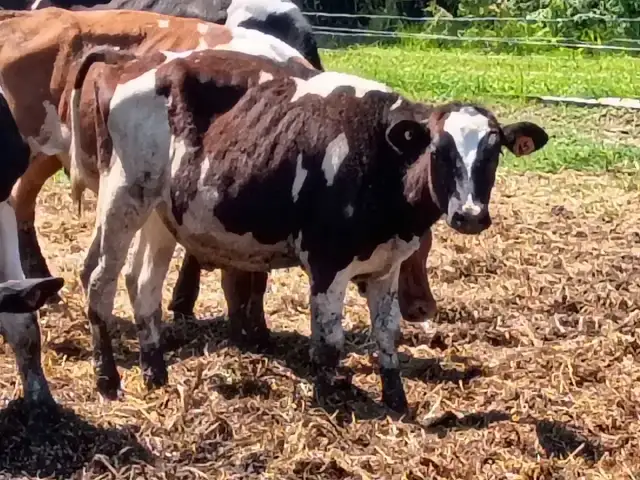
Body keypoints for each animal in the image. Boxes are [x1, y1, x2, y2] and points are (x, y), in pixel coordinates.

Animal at [69, 48, 549, 413]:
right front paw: (330, 398)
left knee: (143, 283)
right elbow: (329, 341)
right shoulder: (326, 262)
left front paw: (396, 399)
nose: (470, 214)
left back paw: (155, 371)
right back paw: (108, 379)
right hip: (123, 197)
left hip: (160, 214)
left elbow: (387, 332)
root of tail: (136, 62)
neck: (379, 157)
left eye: (493, 152)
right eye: (439, 149)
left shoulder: (386, 266)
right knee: (99, 279)